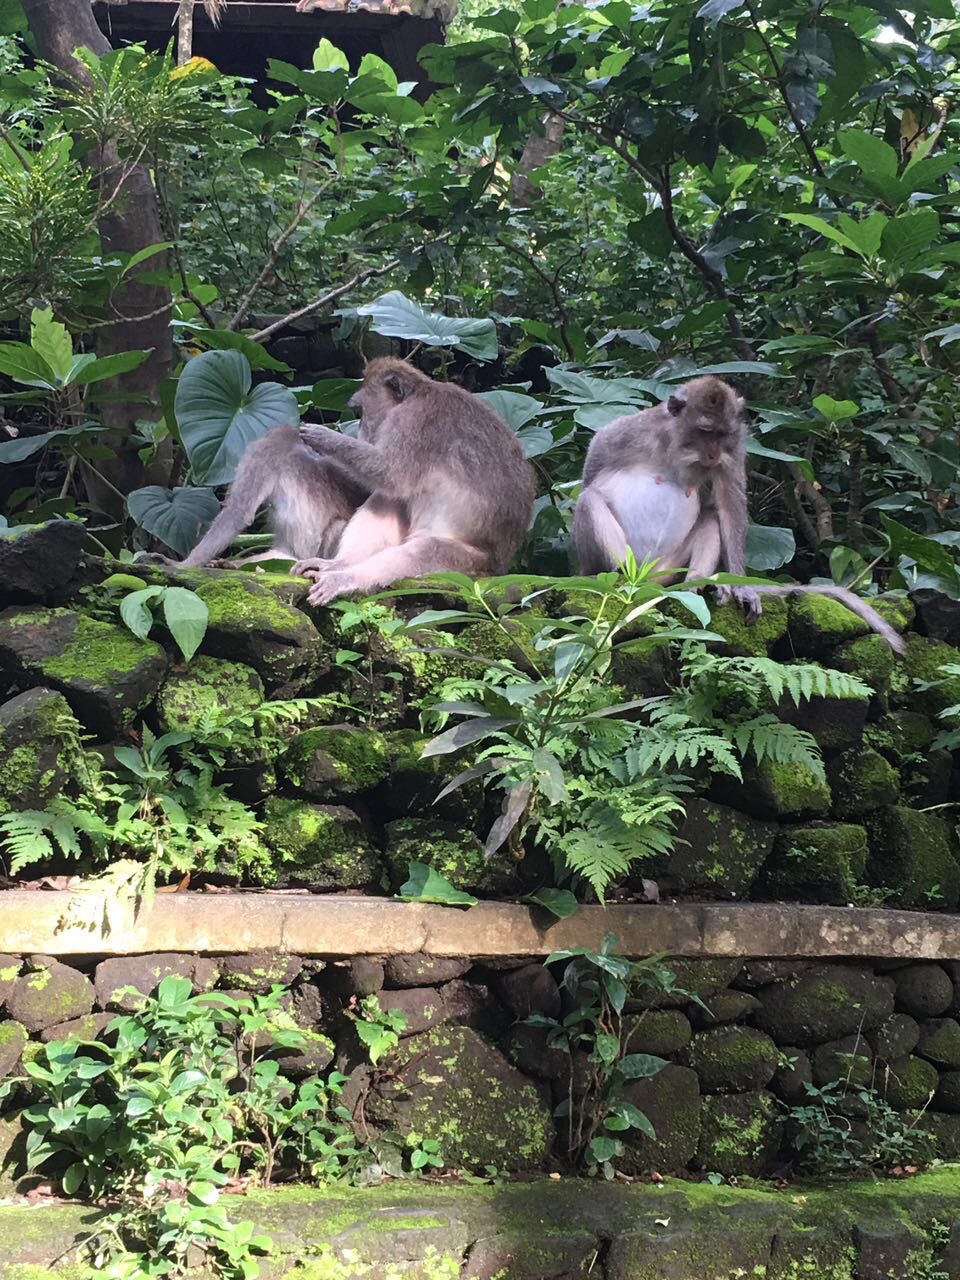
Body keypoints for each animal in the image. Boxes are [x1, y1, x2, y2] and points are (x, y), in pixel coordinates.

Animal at [289, 355, 537, 604]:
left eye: (360, 412)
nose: (360, 432)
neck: (418, 392)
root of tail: (500, 567)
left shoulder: (414, 419)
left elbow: (390, 473)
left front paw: (325, 438)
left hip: (466, 565)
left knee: (424, 550)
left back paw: (346, 578)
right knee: (389, 499)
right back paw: (339, 564)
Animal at [570, 371, 911, 650]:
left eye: (721, 434)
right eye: (705, 432)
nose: (711, 454)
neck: (675, 447)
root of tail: (647, 578)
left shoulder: (734, 448)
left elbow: (729, 504)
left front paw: (741, 586)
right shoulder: (629, 431)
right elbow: (593, 464)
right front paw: (583, 572)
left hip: (668, 568)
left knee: (710, 516)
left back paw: (697, 582)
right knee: (589, 500)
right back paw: (617, 579)